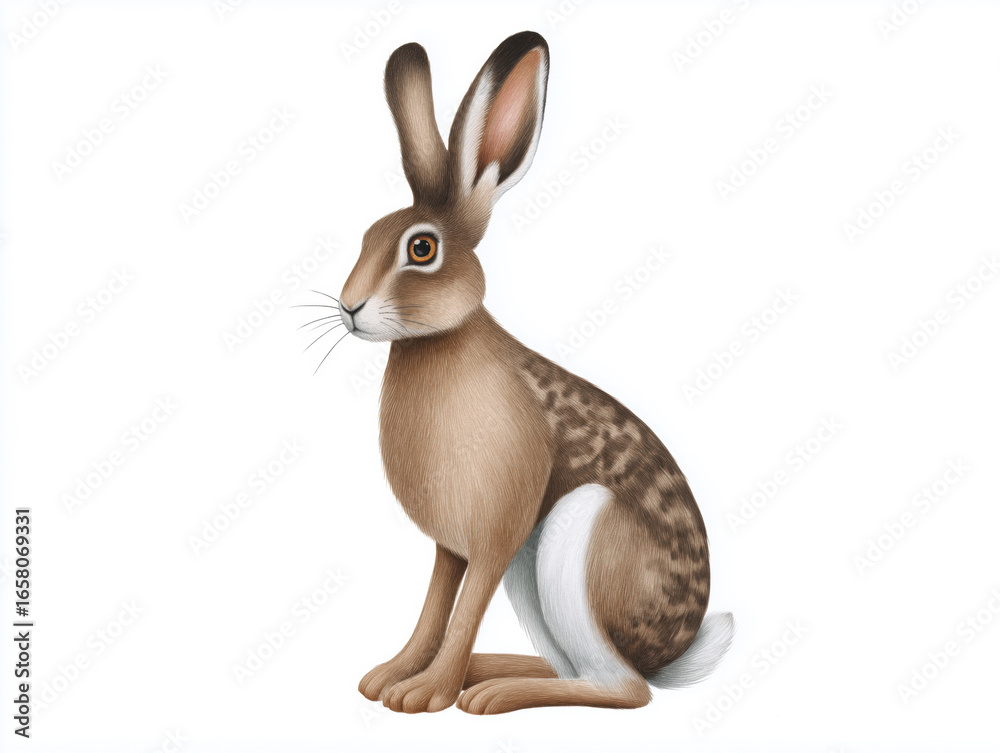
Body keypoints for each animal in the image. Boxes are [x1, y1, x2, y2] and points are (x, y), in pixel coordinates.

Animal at [337, 30, 734, 715]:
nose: (349, 306)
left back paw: (489, 692)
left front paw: (426, 694)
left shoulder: (497, 533)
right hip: (536, 577)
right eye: (365, 236)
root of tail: (669, 656)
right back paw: (489, 672)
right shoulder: (452, 548)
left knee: (623, 688)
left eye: (421, 248)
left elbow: (464, 609)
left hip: (572, 543)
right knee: (579, 670)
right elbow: (436, 604)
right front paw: (391, 677)